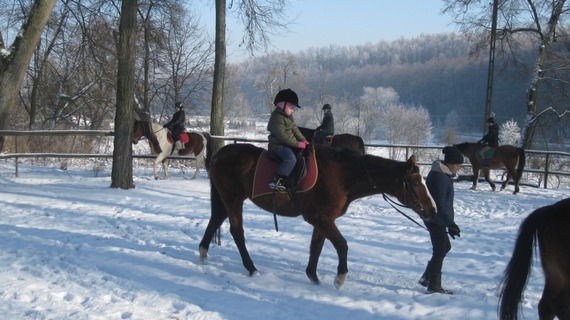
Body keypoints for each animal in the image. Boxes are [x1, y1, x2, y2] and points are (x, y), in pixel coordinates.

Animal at [196, 142, 434, 288]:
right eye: (414, 183)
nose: (432, 210)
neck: (342, 175)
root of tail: (219, 154)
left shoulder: (322, 220)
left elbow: (316, 247)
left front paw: (313, 276)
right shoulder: (321, 218)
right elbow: (341, 245)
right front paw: (340, 277)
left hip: (227, 200)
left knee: (215, 220)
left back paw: (203, 252)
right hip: (233, 199)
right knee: (237, 231)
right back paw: (251, 267)